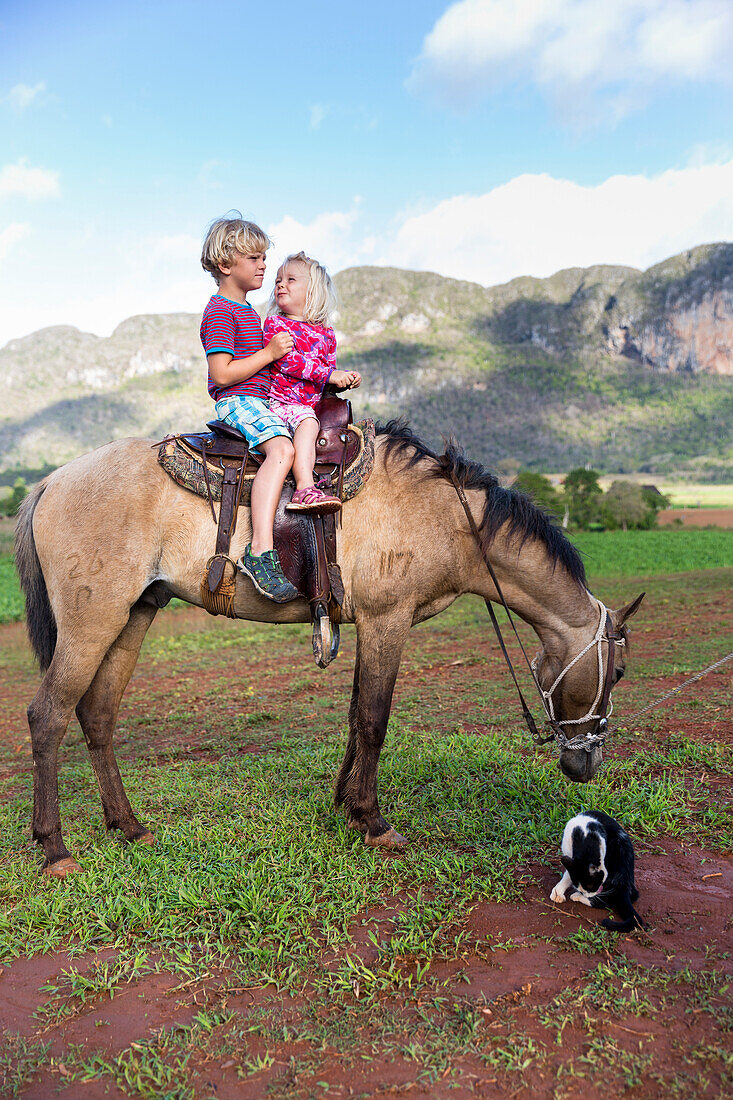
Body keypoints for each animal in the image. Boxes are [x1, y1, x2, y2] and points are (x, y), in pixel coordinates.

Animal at [11, 420, 638, 875]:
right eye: (620, 672)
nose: (586, 764)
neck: (448, 519)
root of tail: (51, 481)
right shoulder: (389, 619)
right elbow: (375, 718)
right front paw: (374, 821)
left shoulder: (366, 623)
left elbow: (357, 714)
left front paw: (344, 804)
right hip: (92, 620)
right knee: (48, 715)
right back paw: (55, 849)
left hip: (133, 615)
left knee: (97, 714)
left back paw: (129, 825)